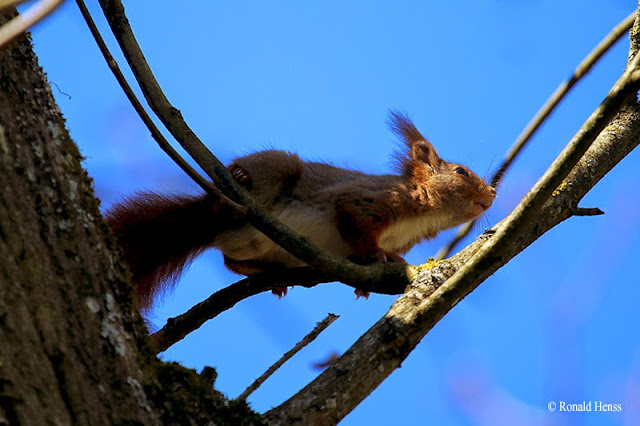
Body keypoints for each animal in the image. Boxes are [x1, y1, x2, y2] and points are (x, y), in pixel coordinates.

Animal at [105, 111, 498, 308]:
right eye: (461, 172)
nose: (493, 193)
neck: (422, 214)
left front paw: (379, 272)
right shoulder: (369, 198)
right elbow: (353, 221)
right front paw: (375, 255)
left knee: (230, 260)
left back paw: (271, 274)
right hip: (272, 171)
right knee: (224, 205)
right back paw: (237, 180)